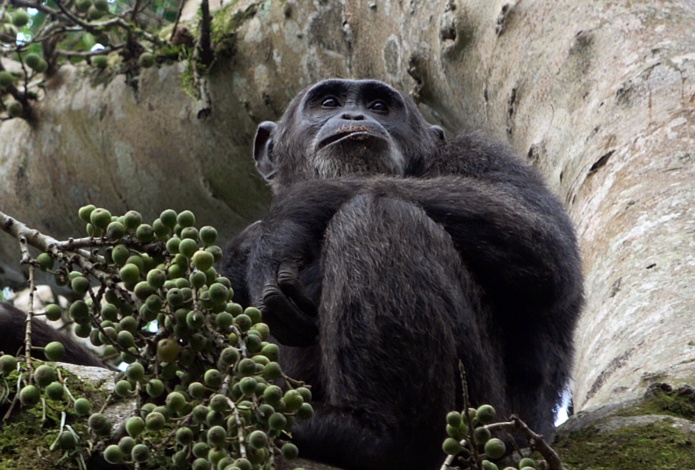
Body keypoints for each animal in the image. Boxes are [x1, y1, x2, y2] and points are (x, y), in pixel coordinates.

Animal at [222, 79, 580, 468]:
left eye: (379, 105)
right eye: (328, 102)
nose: (354, 115)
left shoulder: (482, 152)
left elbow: (543, 243)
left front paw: (286, 223)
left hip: (487, 424)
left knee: (378, 214)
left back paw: (375, 435)